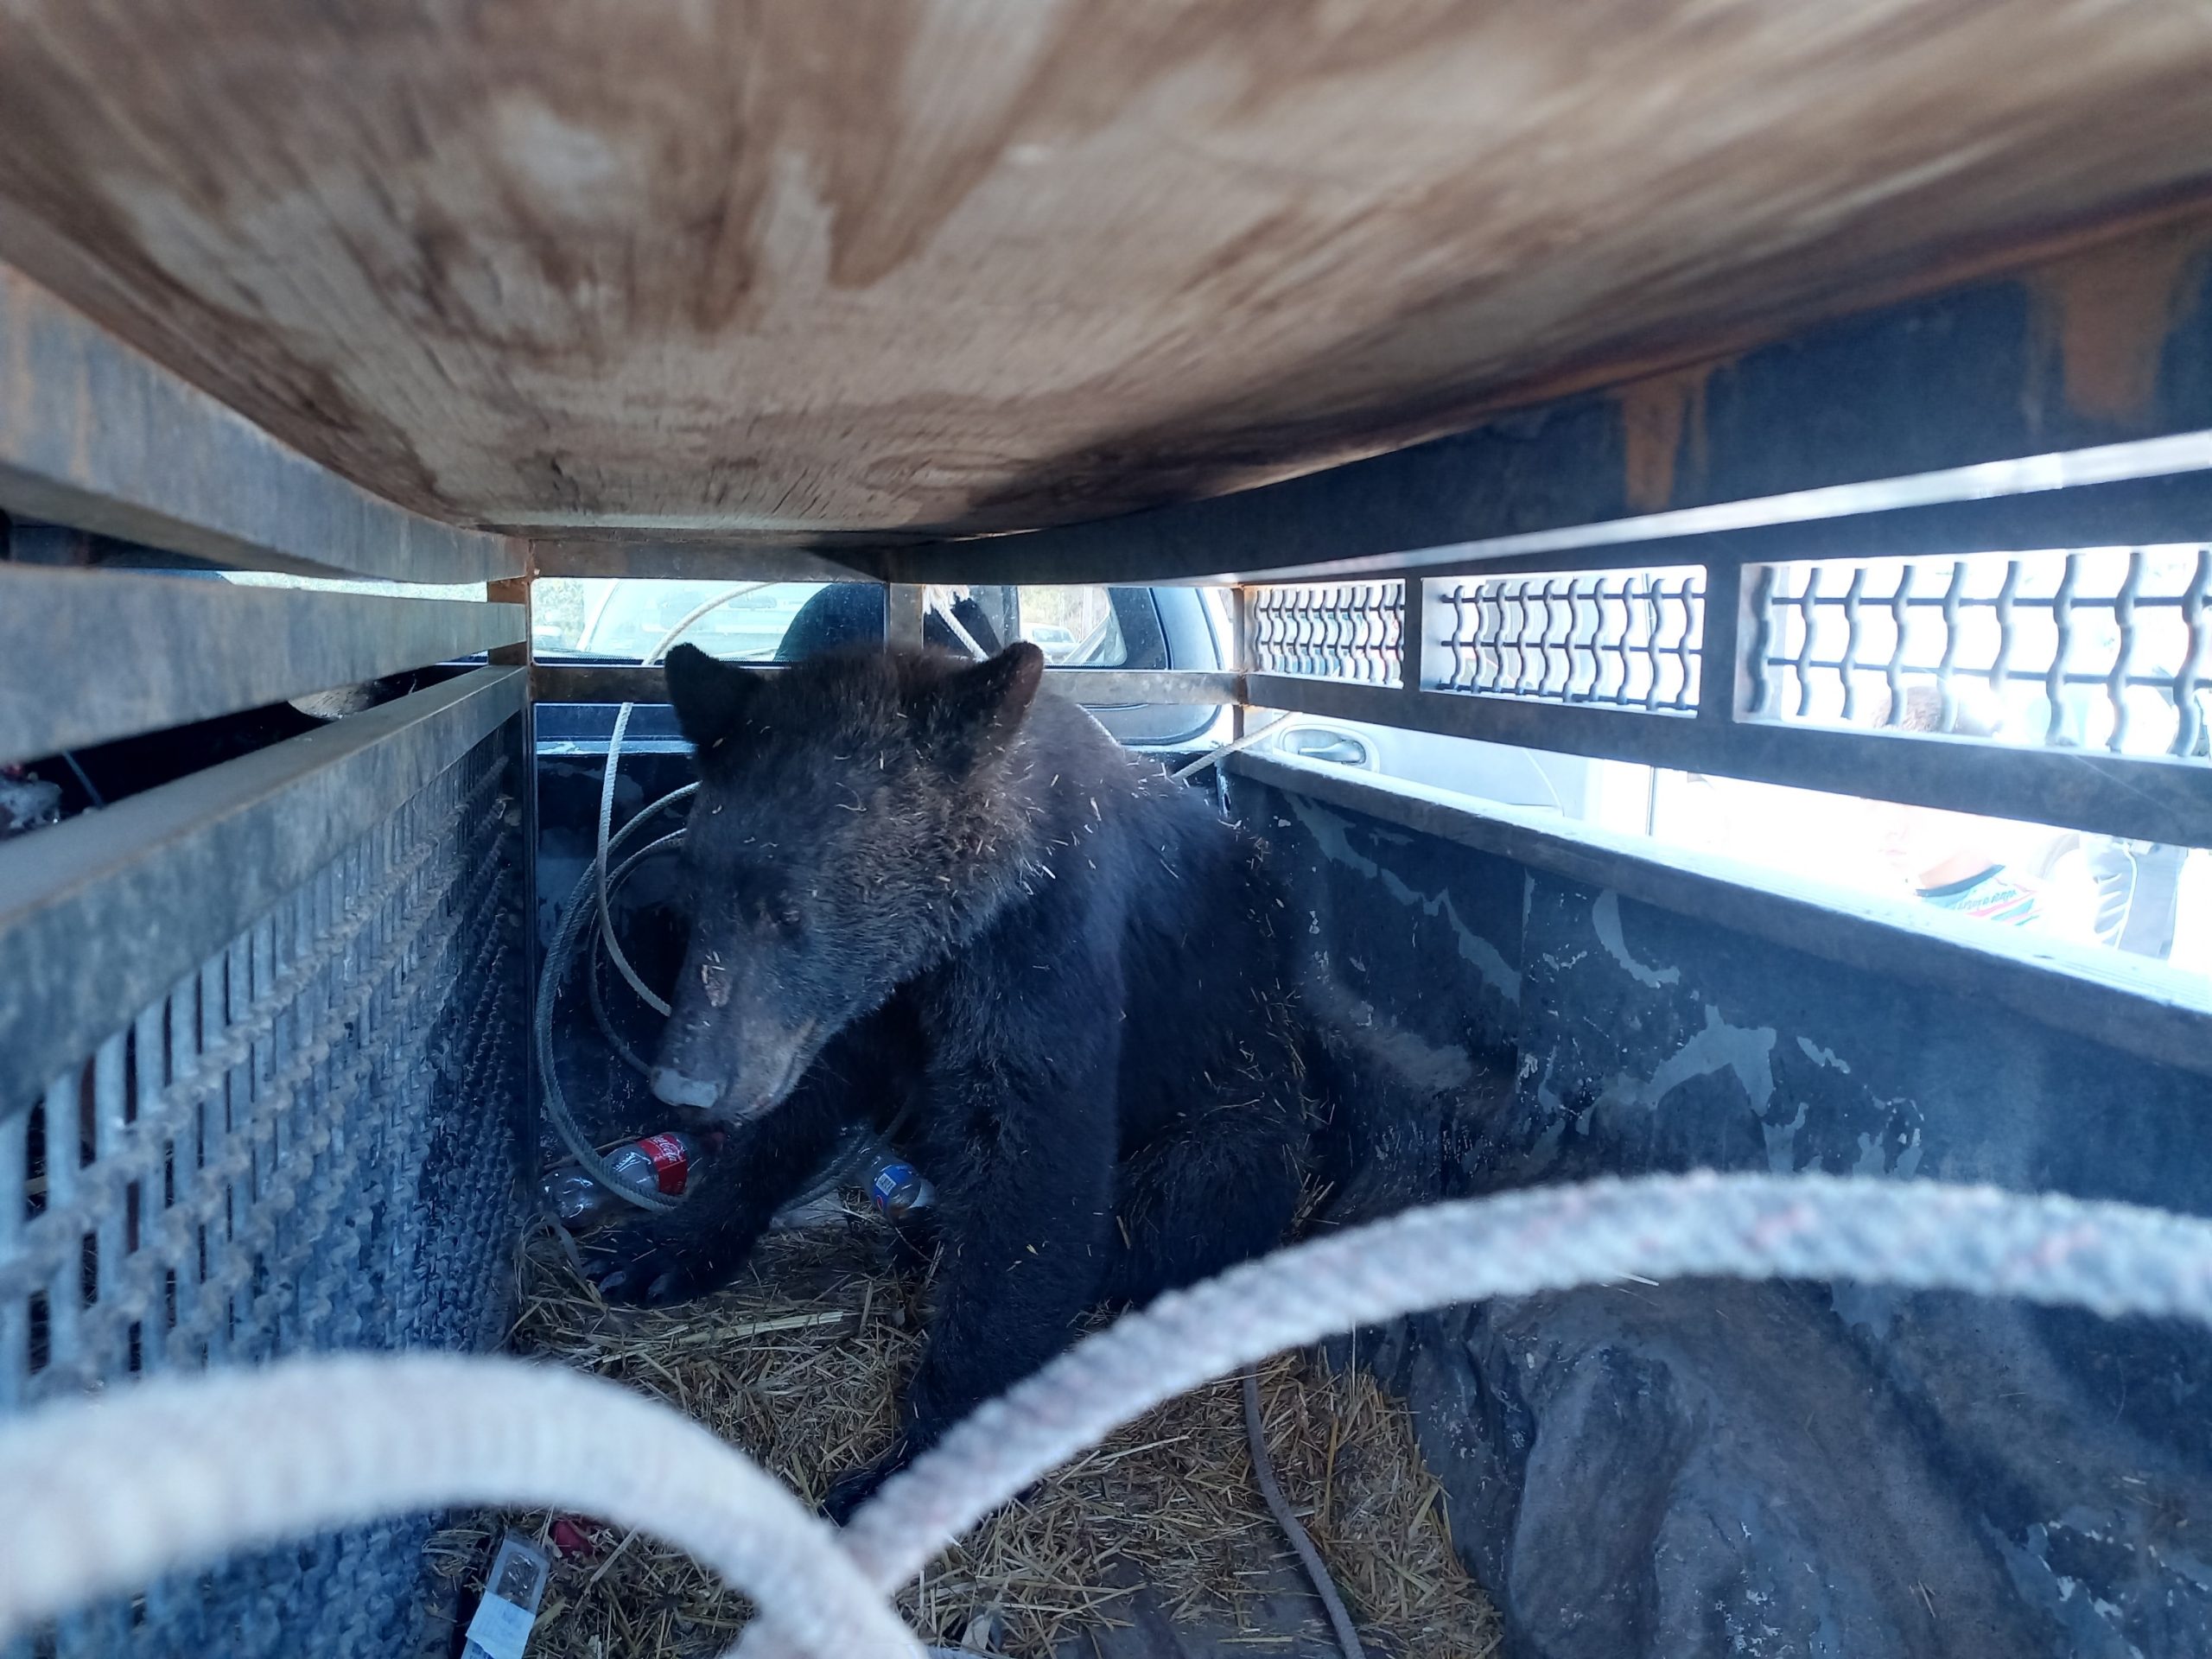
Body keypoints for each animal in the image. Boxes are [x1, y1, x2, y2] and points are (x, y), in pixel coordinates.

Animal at [586, 639, 1309, 1514]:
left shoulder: (1043, 951)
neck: (939, 939)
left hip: (1243, 1109)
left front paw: (917, 1460)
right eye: (696, 893)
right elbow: (799, 1101)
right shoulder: (854, 1009)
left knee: (1175, 1206)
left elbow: (1033, 1179)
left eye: (791, 910)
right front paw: (660, 1246)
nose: (683, 1087)